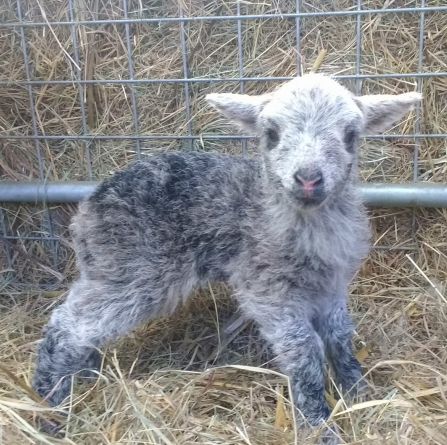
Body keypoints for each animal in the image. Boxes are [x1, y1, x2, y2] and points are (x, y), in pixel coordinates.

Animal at [33, 74, 422, 442]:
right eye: (271, 134)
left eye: (350, 135)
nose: (309, 179)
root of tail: (88, 206)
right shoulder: (266, 289)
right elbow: (304, 350)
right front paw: (319, 426)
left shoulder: (332, 285)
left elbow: (340, 336)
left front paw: (360, 394)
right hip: (133, 271)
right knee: (67, 326)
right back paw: (49, 402)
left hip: (109, 268)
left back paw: (84, 374)